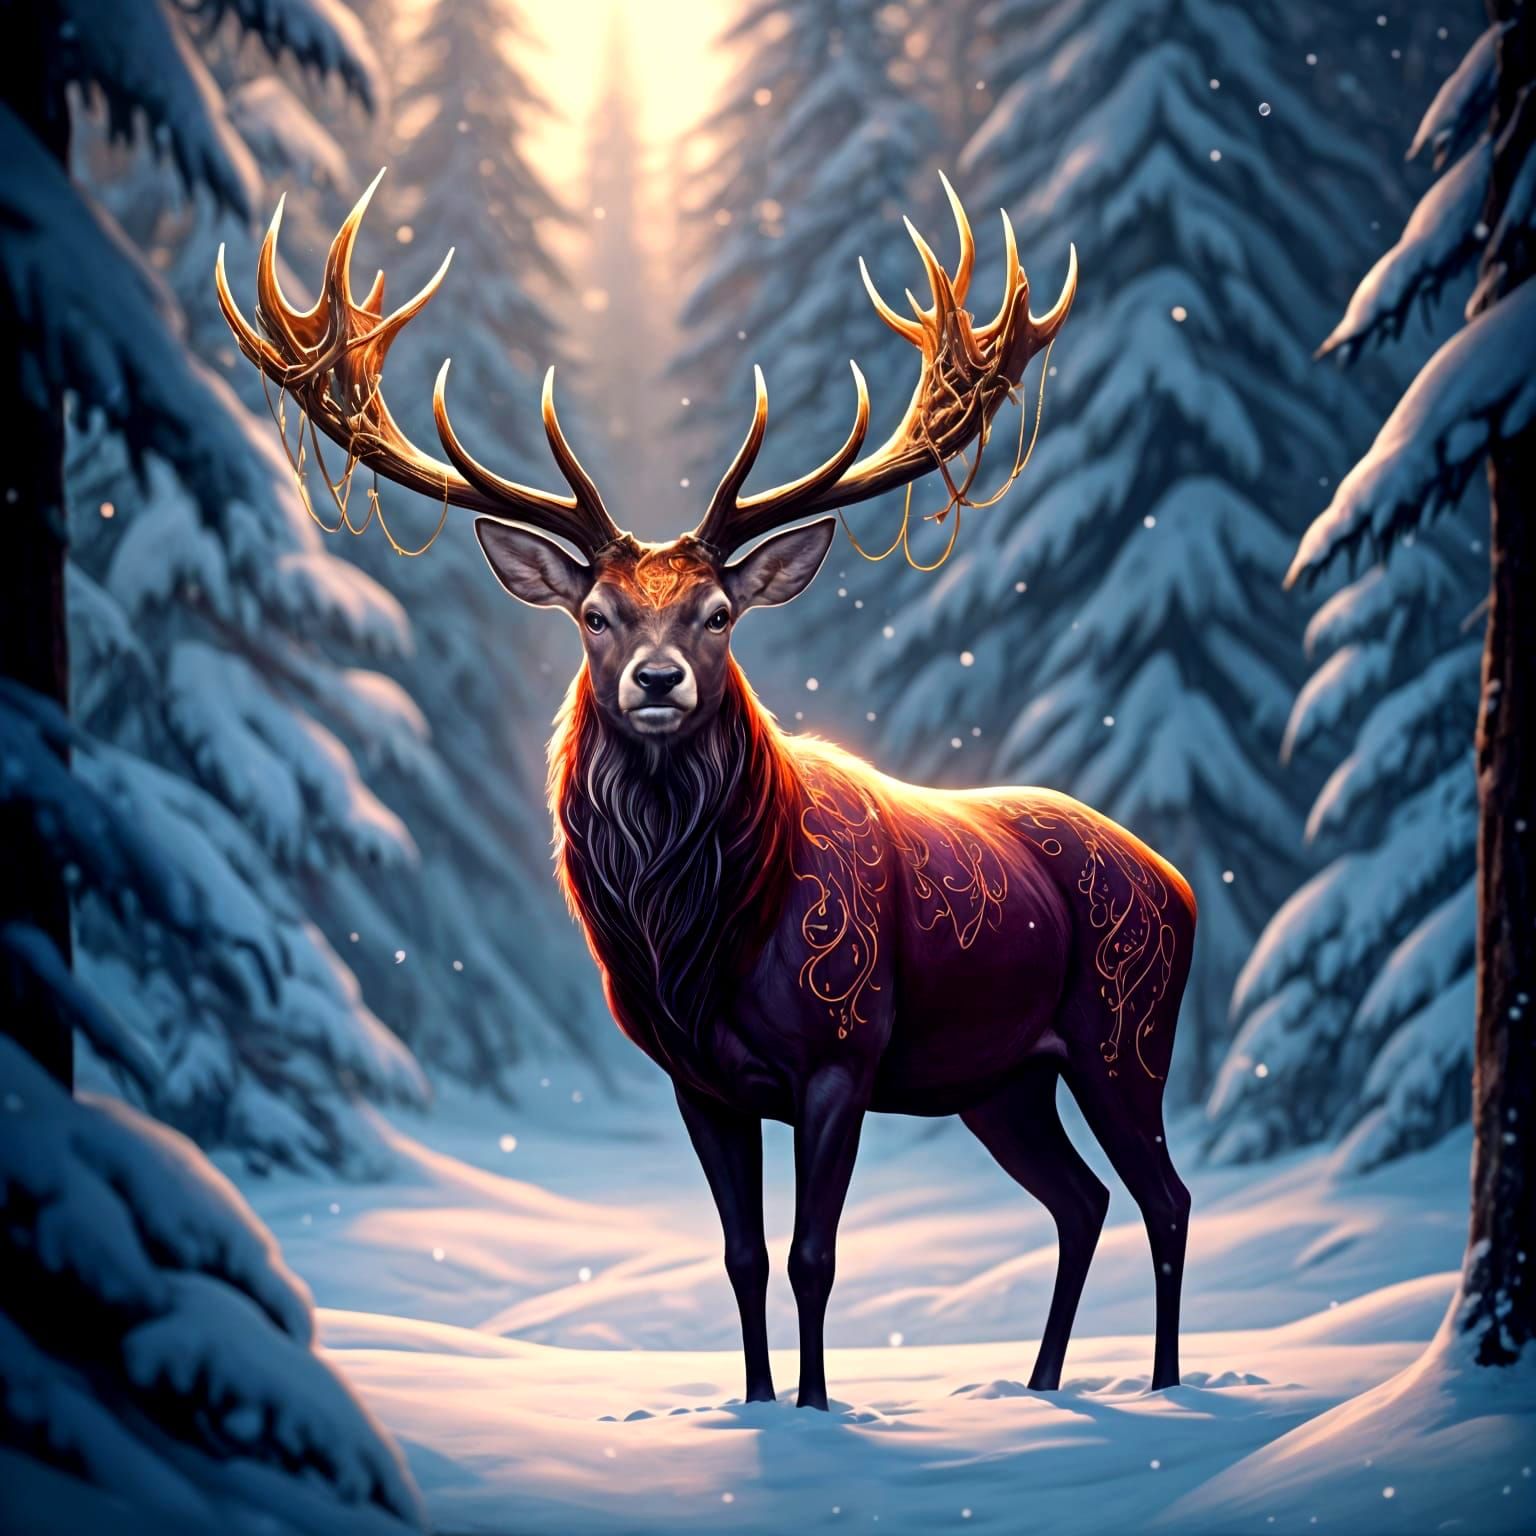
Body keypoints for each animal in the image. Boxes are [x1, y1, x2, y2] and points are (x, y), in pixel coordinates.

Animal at [216, 170, 1198, 1410]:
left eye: (718, 612)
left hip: (1126, 1028)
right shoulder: (698, 1079)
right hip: (1004, 1076)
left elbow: (815, 1255)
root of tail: (1179, 882)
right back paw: (1041, 1387)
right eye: (596, 614)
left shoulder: (842, 1049)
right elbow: (740, 1256)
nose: (657, 678)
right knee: (1082, 1200)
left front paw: (821, 1409)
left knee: (1164, 1196)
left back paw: (1164, 1387)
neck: (699, 933)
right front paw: (759, 1406)